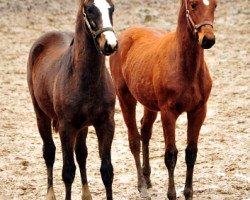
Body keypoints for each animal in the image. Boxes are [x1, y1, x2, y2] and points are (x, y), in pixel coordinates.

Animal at [26, 0, 118, 199]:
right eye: (90, 10)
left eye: (112, 8)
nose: (110, 44)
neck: (86, 80)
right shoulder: (66, 127)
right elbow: (68, 172)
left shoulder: (106, 124)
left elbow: (106, 171)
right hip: (41, 115)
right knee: (49, 152)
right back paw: (50, 194)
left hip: (82, 126)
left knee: (81, 153)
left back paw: (86, 194)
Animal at [110, 0, 217, 198]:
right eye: (193, 5)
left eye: (214, 6)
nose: (208, 39)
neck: (187, 68)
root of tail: (125, 35)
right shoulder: (168, 113)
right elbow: (170, 155)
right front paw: (172, 194)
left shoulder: (199, 111)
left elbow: (191, 153)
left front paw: (188, 193)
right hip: (125, 97)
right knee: (134, 140)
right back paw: (142, 186)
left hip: (149, 104)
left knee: (145, 131)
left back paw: (148, 178)